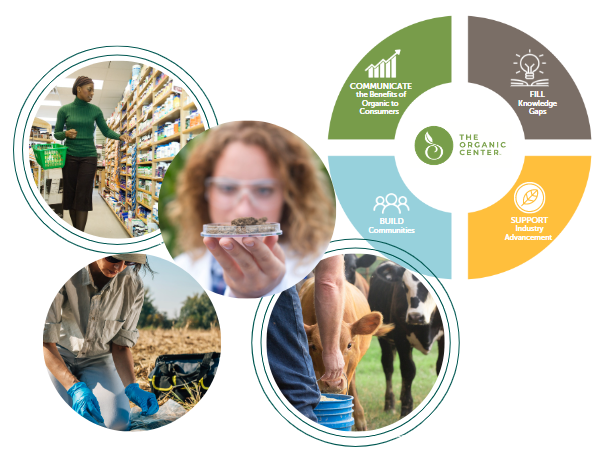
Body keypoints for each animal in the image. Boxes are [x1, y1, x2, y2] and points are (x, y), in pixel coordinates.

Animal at [366, 260, 446, 418]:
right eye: (404, 285)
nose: (415, 316)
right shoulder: (401, 338)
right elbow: (408, 371)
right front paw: (406, 409)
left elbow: (439, 366)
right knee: (388, 366)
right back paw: (389, 404)